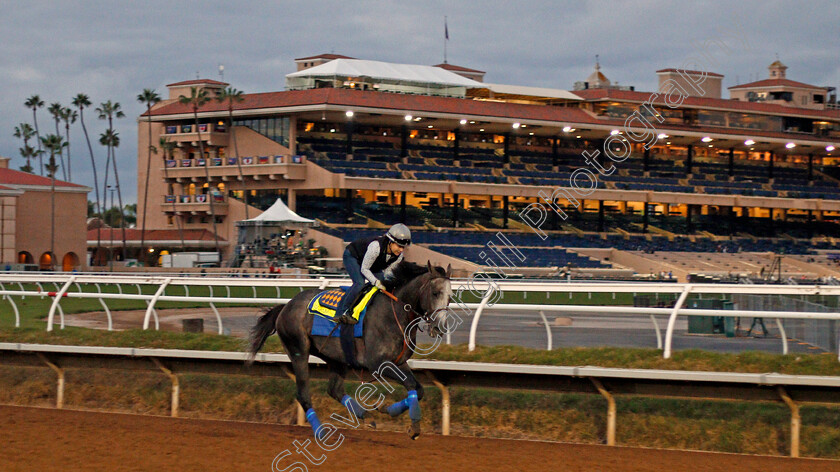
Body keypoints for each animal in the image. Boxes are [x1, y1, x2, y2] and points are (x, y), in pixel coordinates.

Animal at [248, 262, 452, 438]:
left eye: (450, 297)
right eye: (435, 293)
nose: (440, 326)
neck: (394, 313)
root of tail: (286, 306)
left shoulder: (399, 362)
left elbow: (418, 389)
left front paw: (391, 412)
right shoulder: (377, 364)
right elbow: (410, 385)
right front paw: (408, 422)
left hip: (336, 358)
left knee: (334, 390)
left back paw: (366, 416)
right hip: (298, 350)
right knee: (303, 394)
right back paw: (321, 432)